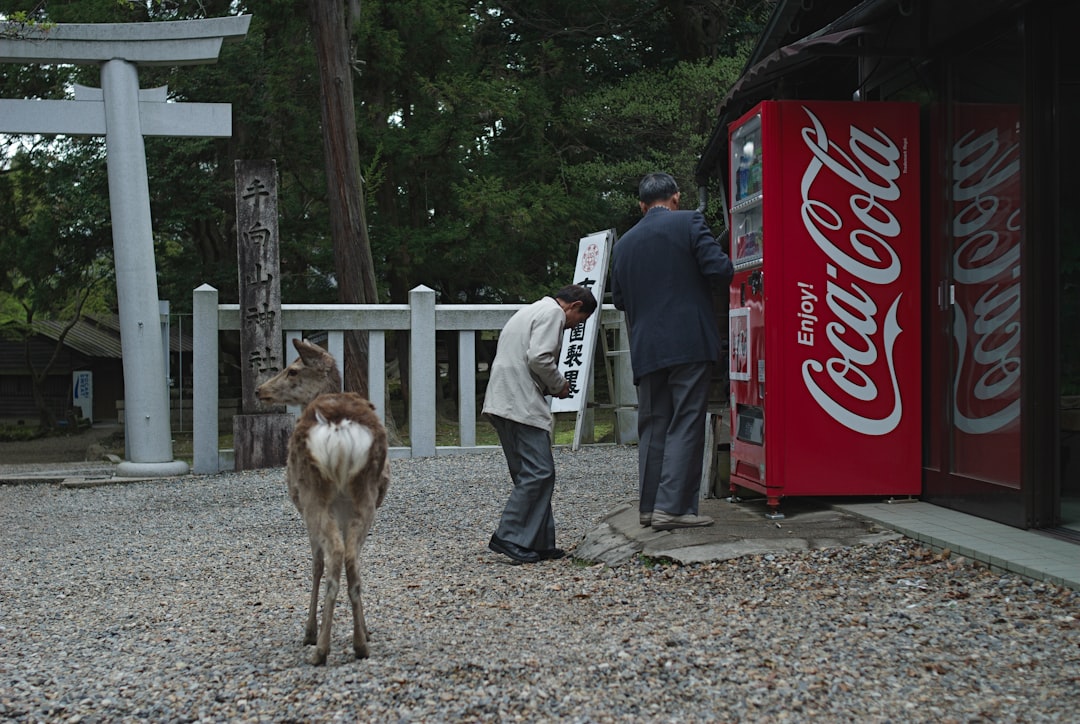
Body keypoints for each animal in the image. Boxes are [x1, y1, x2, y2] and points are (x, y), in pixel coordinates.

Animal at [254, 337, 390, 665]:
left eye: (292, 370)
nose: (259, 390)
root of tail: (339, 428)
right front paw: (366, 630)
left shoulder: (303, 510)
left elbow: (315, 564)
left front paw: (309, 631)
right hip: (365, 497)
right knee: (351, 557)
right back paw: (360, 643)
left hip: (314, 495)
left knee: (334, 556)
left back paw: (321, 649)